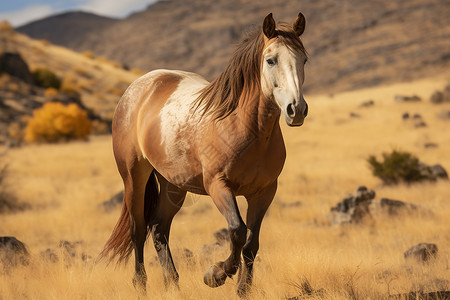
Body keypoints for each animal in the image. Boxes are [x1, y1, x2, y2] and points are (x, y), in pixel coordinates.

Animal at [100, 12, 308, 296]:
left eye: (304, 59)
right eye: (271, 60)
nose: (296, 110)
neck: (243, 126)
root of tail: (136, 89)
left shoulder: (264, 192)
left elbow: (251, 244)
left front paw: (243, 290)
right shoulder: (218, 185)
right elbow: (237, 231)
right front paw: (215, 274)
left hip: (173, 185)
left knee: (159, 228)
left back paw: (173, 284)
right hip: (134, 178)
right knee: (138, 230)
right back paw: (141, 286)